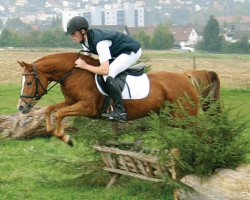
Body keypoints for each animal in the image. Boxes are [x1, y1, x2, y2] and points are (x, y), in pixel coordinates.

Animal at [17, 52, 220, 145]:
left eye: (29, 82)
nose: (21, 107)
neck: (73, 73)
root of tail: (185, 77)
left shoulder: (87, 107)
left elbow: (59, 114)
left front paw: (66, 138)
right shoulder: (71, 102)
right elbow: (51, 109)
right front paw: (53, 131)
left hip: (183, 117)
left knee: (201, 132)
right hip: (174, 117)